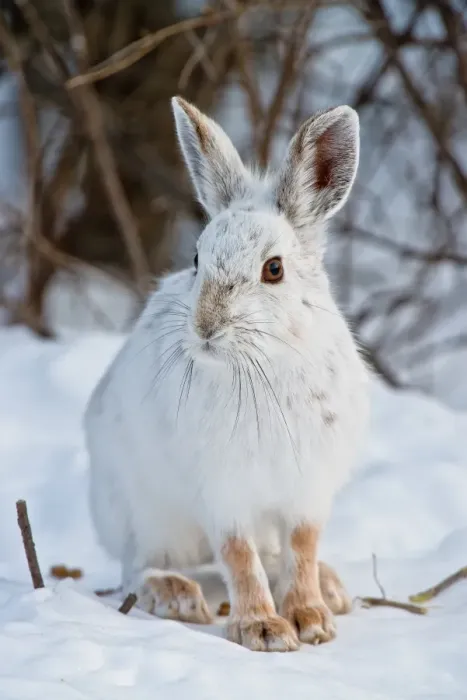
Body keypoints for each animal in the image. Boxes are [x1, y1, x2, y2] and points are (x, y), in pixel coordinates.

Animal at [84, 96, 369, 652]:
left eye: (274, 269)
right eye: (197, 259)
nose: (205, 327)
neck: (267, 363)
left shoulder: (307, 490)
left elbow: (301, 547)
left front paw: (312, 619)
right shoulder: (222, 489)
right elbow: (238, 556)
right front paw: (263, 629)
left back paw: (331, 587)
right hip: (146, 516)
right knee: (136, 568)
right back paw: (174, 594)